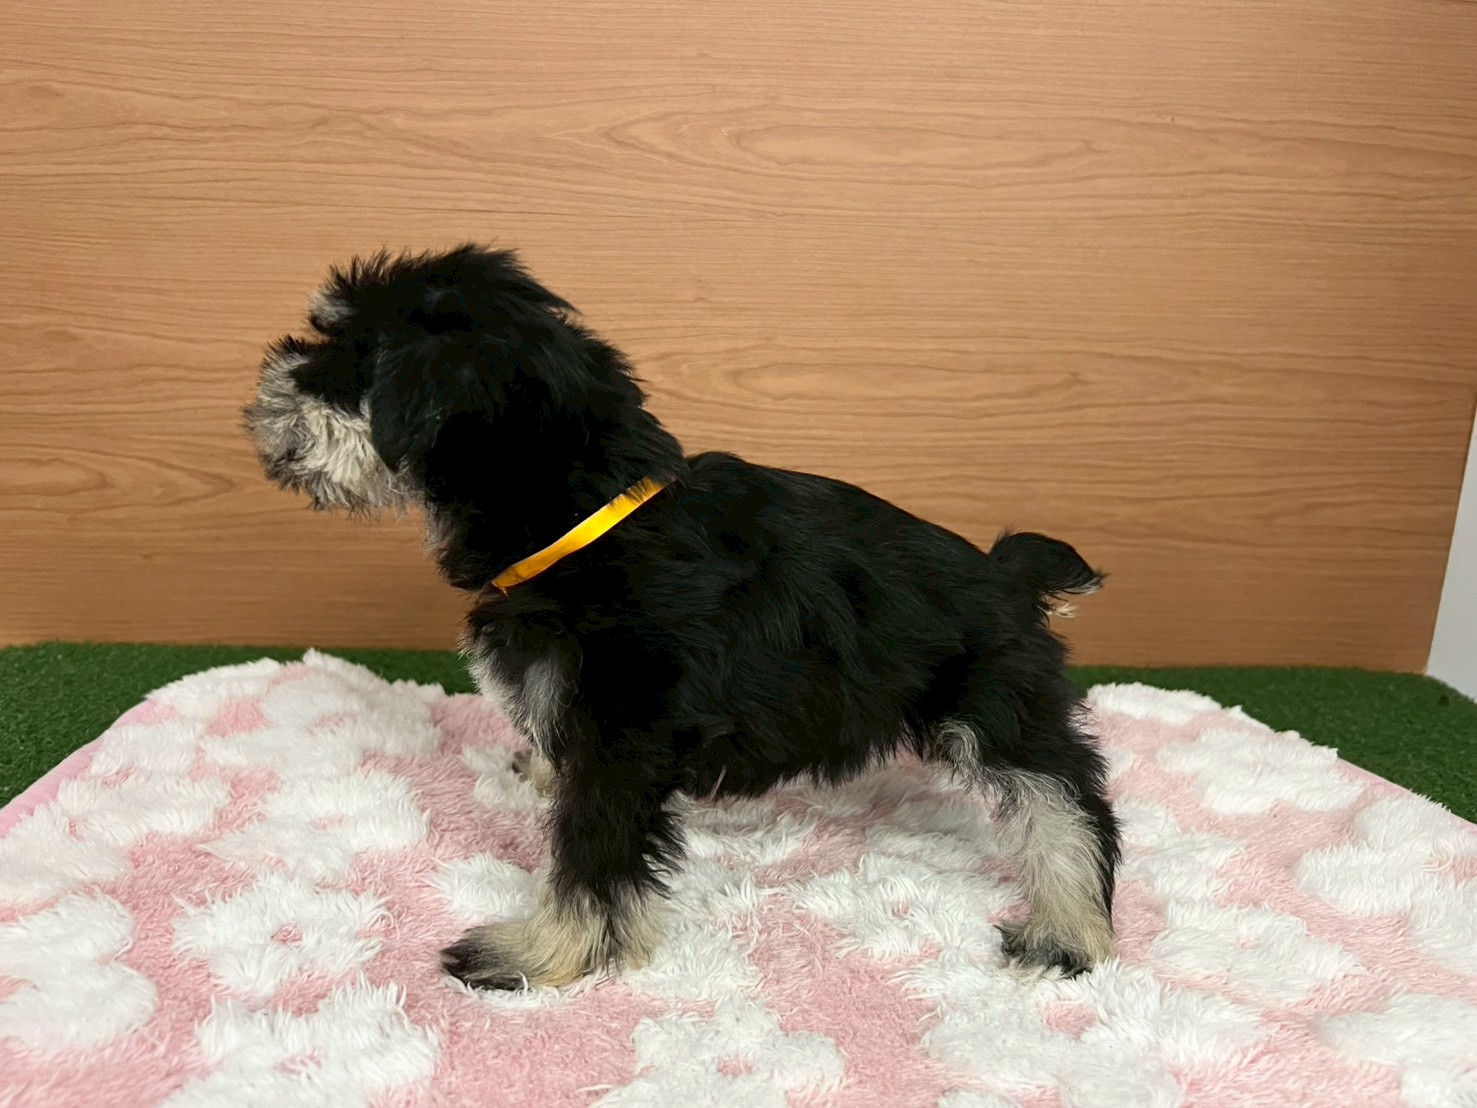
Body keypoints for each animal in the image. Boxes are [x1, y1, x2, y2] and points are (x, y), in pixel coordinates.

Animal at [243, 244, 1120, 989]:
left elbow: (591, 858)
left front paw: (544, 953)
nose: (272, 381)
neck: (581, 516)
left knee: (1066, 803)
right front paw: (537, 776)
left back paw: (1067, 930)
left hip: (991, 703)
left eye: (344, 363)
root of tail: (1005, 573)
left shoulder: (620, 738)